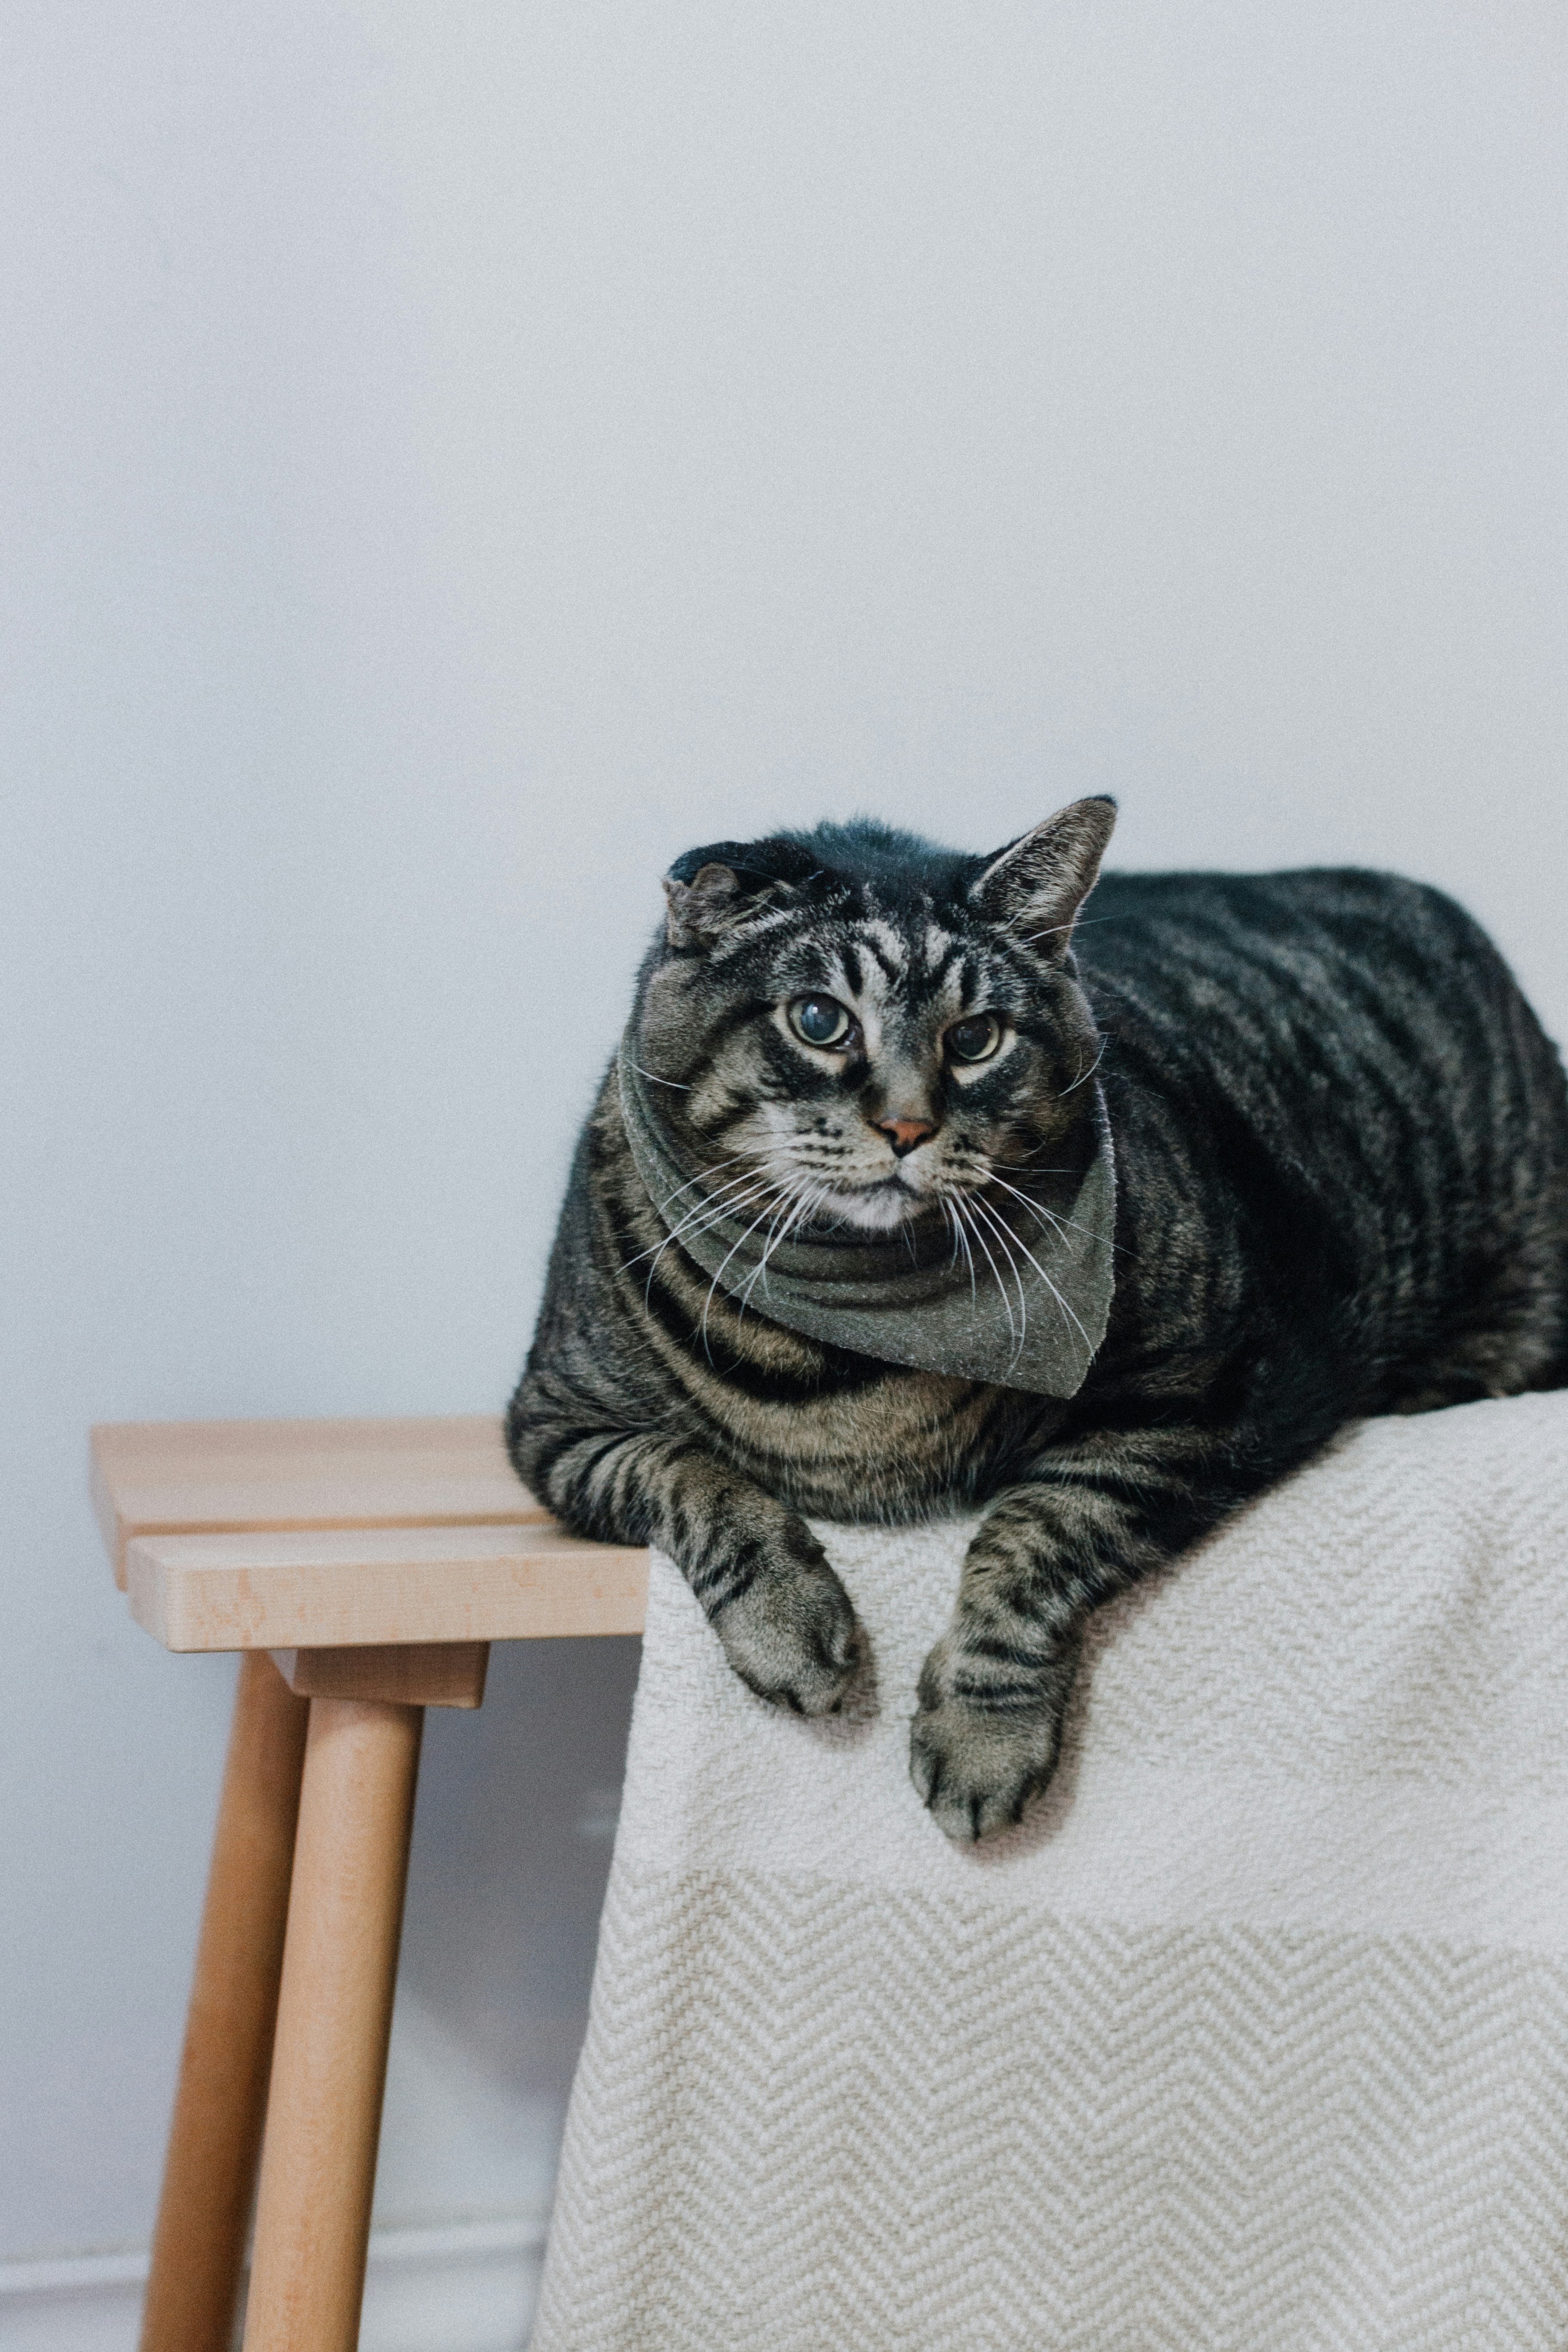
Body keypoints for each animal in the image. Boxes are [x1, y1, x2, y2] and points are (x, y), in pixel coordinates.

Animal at [512, 799, 1568, 1844]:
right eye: (819, 1021)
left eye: (977, 1036)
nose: (907, 1127)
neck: (856, 1340)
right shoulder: (556, 1427)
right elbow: (693, 1476)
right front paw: (792, 1628)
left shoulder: (1224, 1390)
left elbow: (1041, 1529)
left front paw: (983, 1735)